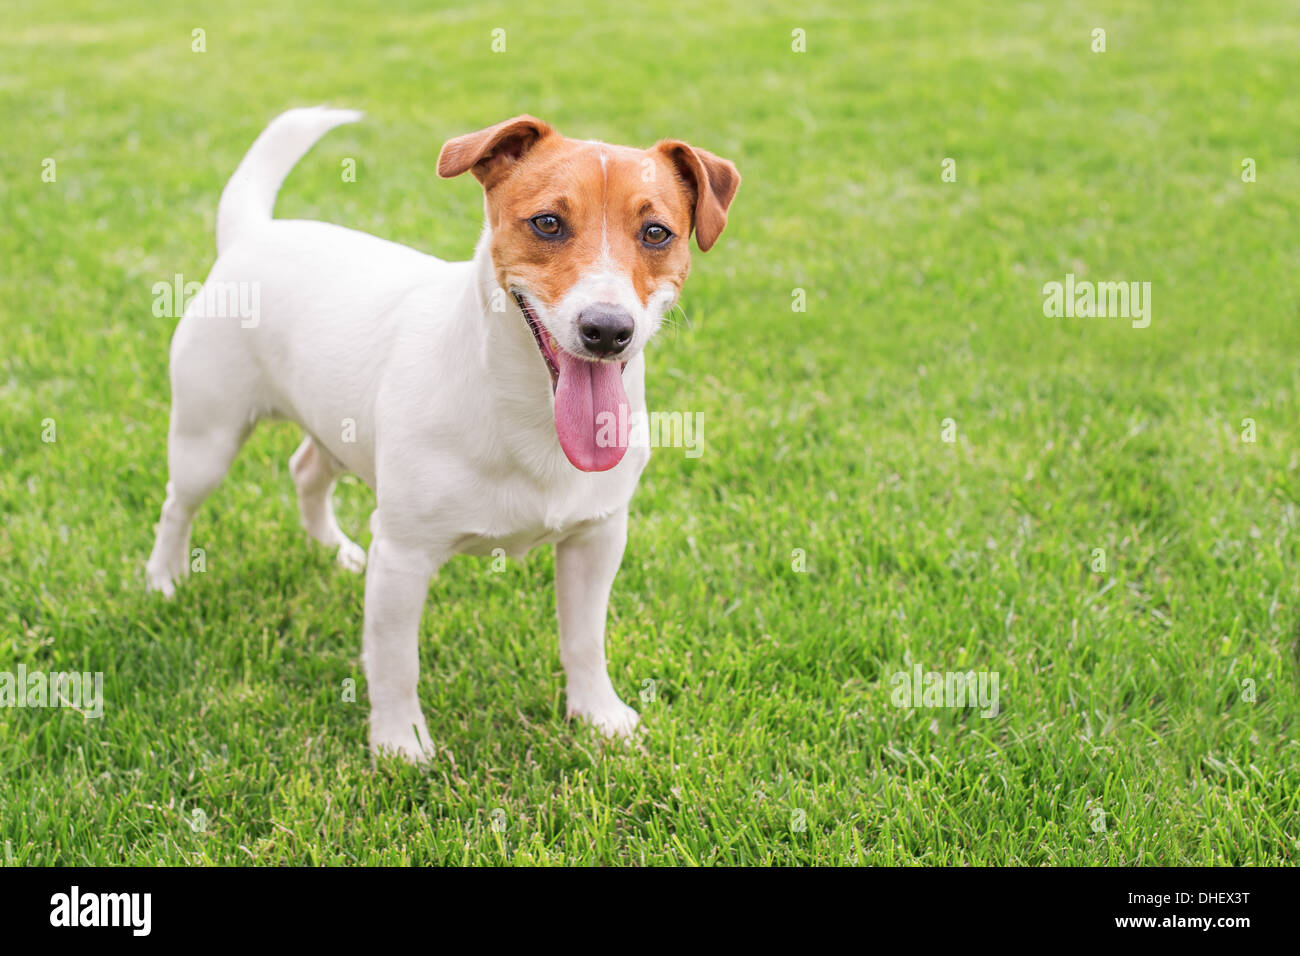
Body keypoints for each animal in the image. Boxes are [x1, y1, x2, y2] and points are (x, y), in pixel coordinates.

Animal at [143, 106, 743, 764]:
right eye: (548, 223)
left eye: (657, 233)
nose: (607, 330)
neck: (527, 413)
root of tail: (253, 233)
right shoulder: (403, 556)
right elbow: (394, 662)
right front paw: (399, 744)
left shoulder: (598, 537)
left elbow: (585, 640)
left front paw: (598, 715)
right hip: (207, 436)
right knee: (178, 505)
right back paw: (165, 578)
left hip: (338, 424)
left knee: (307, 471)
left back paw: (333, 549)